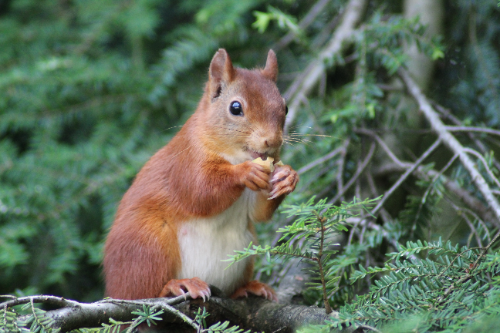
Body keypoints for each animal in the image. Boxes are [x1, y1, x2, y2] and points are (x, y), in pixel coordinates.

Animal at [101, 48, 296, 300]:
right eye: (235, 108)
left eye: (285, 107)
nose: (272, 141)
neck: (235, 156)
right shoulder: (185, 161)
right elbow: (199, 192)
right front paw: (245, 172)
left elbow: (258, 213)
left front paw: (288, 177)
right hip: (147, 244)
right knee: (144, 292)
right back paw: (177, 285)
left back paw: (249, 287)